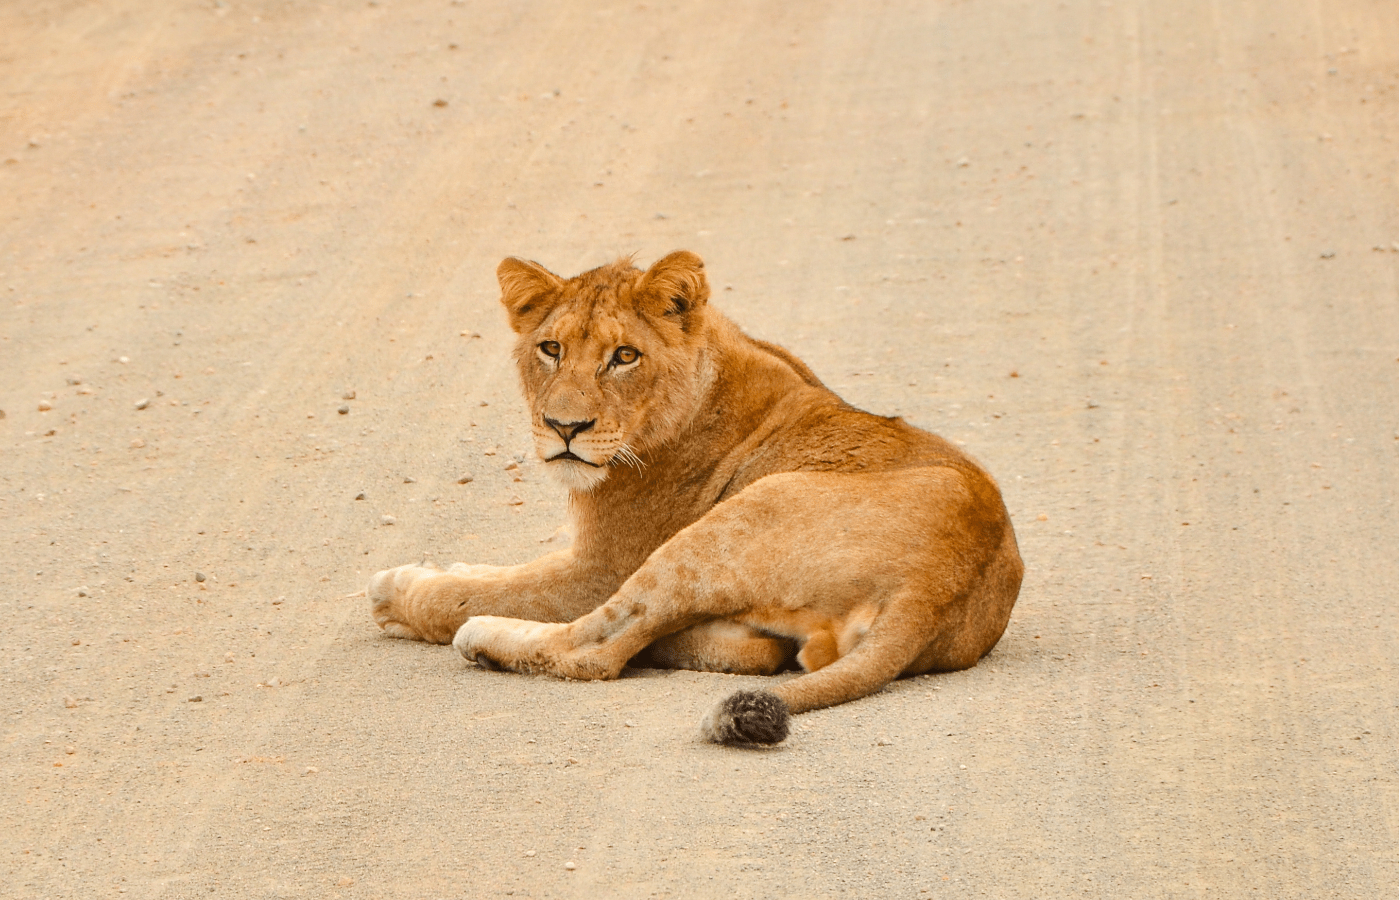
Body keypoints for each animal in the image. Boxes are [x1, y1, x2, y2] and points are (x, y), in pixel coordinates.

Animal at [367, 251, 1023, 745]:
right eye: (550, 349)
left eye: (624, 356)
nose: (563, 428)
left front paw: (400, 593)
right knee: (757, 652)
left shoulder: (601, 568)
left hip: (732, 521)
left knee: (596, 648)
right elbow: (497, 571)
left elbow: (478, 593)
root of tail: (936, 585)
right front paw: (444, 567)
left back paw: (482, 638)